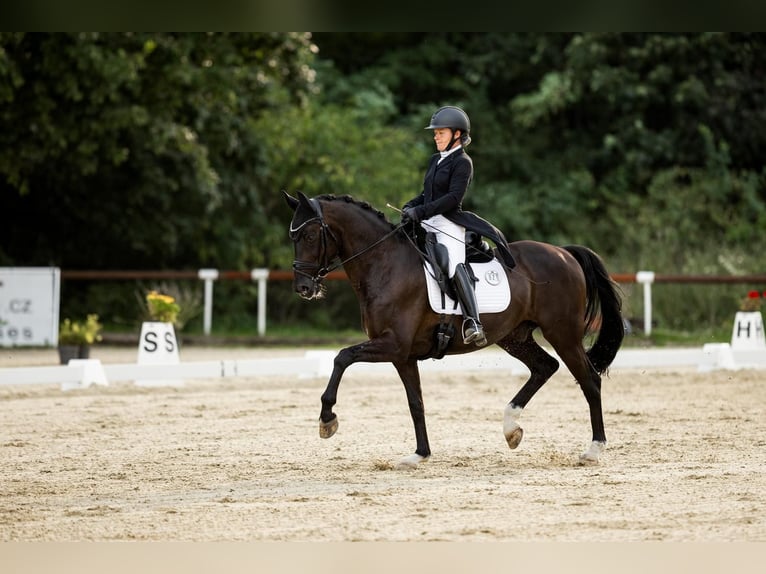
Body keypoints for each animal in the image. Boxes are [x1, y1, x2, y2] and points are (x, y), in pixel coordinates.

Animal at [284, 191, 625, 468]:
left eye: (311, 236)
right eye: (294, 238)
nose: (303, 288)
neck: (385, 264)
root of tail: (563, 253)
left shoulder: (392, 344)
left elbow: (342, 357)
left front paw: (327, 420)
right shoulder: (403, 355)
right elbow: (416, 403)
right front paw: (419, 455)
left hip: (562, 333)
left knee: (589, 380)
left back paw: (594, 449)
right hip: (515, 336)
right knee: (545, 367)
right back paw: (511, 428)